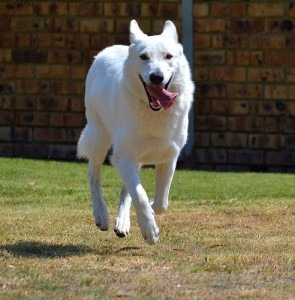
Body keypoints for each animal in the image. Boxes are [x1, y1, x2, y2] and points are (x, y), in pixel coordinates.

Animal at [77, 19, 195, 244]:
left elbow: (161, 201)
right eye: (144, 57)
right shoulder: (124, 156)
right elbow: (139, 194)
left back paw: (122, 222)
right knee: (94, 177)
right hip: (99, 138)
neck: (153, 111)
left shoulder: (169, 158)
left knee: (126, 188)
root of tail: (108, 50)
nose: (156, 77)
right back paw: (101, 215)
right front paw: (149, 230)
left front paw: (150, 211)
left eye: (168, 56)